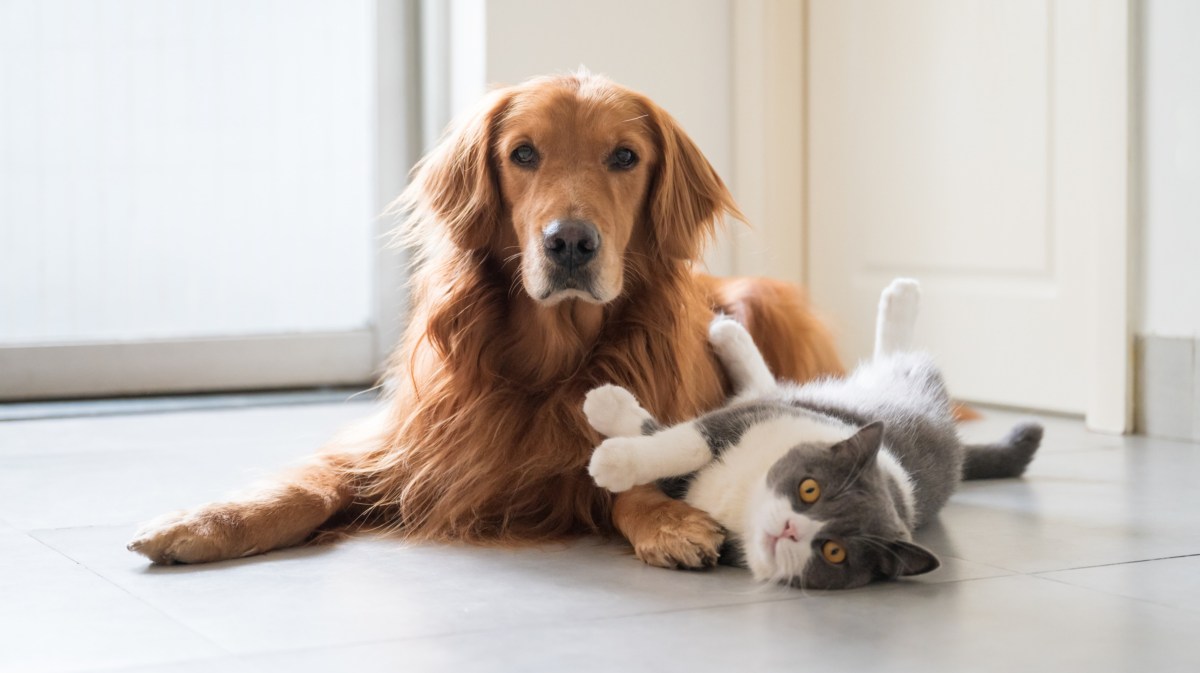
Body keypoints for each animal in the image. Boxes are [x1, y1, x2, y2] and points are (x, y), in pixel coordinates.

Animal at [129, 72, 844, 566]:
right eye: (523, 154)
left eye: (624, 157)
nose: (570, 243)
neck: (551, 359)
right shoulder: (404, 443)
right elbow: (311, 483)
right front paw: (207, 522)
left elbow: (628, 472)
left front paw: (667, 520)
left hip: (763, 298)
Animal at [583, 278, 1041, 587]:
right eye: (810, 489)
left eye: (834, 552)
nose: (790, 529)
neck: (744, 498)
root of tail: (955, 442)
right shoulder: (753, 418)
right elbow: (686, 441)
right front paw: (610, 421)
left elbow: (673, 440)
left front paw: (611, 452)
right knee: (881, 357)